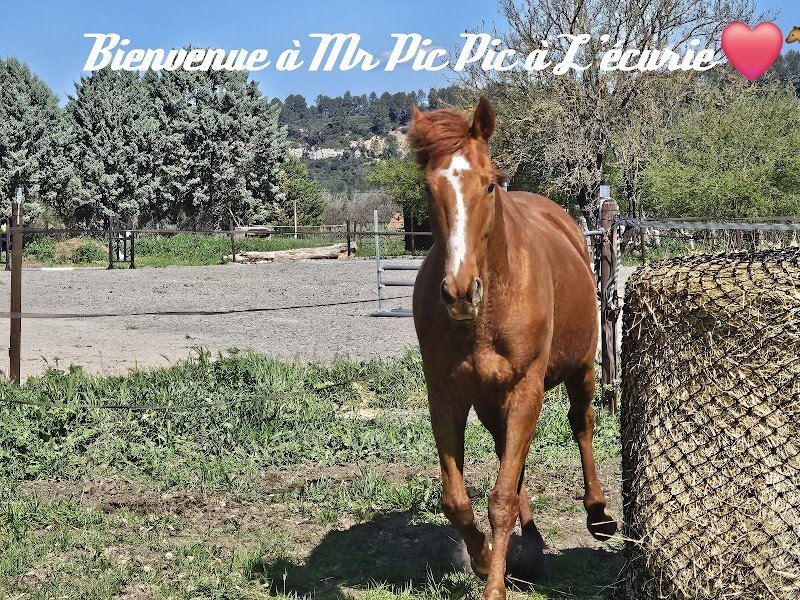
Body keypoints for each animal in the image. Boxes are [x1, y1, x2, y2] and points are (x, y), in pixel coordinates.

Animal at [409, 98, 617, 600]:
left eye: (488, 184)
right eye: (428, 188)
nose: (460, 292)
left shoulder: (527, 388)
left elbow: (501, 498)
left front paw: (494, 586)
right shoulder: (446, 395)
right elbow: (457, 499)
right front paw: (486, 559)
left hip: (579, 370)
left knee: (581, 424)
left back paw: (598, 513)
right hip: (492, 400)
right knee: (509, 451)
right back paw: (533, 545)